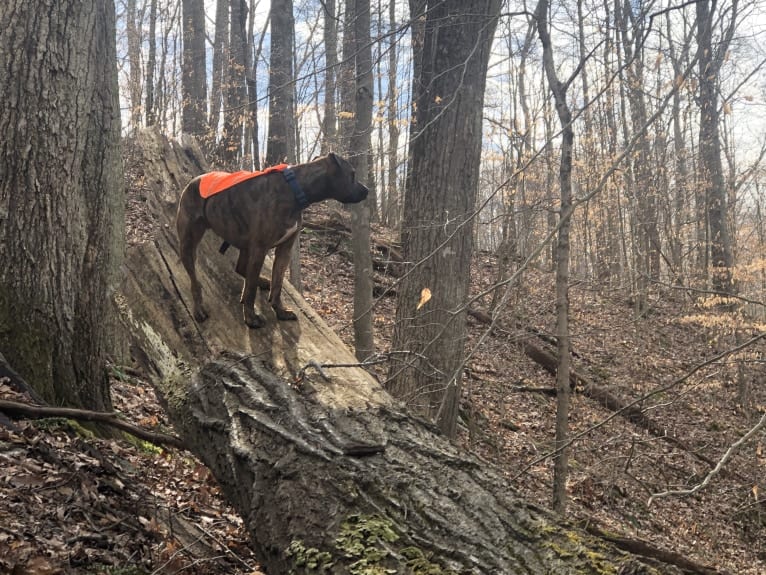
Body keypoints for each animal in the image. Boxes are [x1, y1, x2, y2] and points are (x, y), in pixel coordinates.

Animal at [177, 153, 368, 328]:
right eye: (352, 174)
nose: (367, 190)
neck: (295, 190)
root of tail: (193, 181)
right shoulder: (259, 249)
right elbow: (251, 290)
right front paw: (251, 317)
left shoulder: (284, 250)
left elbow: (277, 283)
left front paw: (280, 311)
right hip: (189, 243)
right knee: (195, 280)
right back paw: (199, 308)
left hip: (245, 245)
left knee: (241, 269)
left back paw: (261, 281)